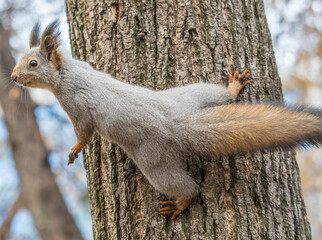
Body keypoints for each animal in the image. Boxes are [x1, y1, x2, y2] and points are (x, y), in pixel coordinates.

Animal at [10, 20, 322, 219]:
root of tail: (180, 121)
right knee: (224, 97)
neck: (67, 73)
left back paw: (181, 202)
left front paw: (75, 150)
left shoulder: (75, 105)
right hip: (194, 93)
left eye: (33, 64)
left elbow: (84, 132)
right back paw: (233, 88)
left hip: (154, 161)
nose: (12, 77)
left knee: (186, 187)